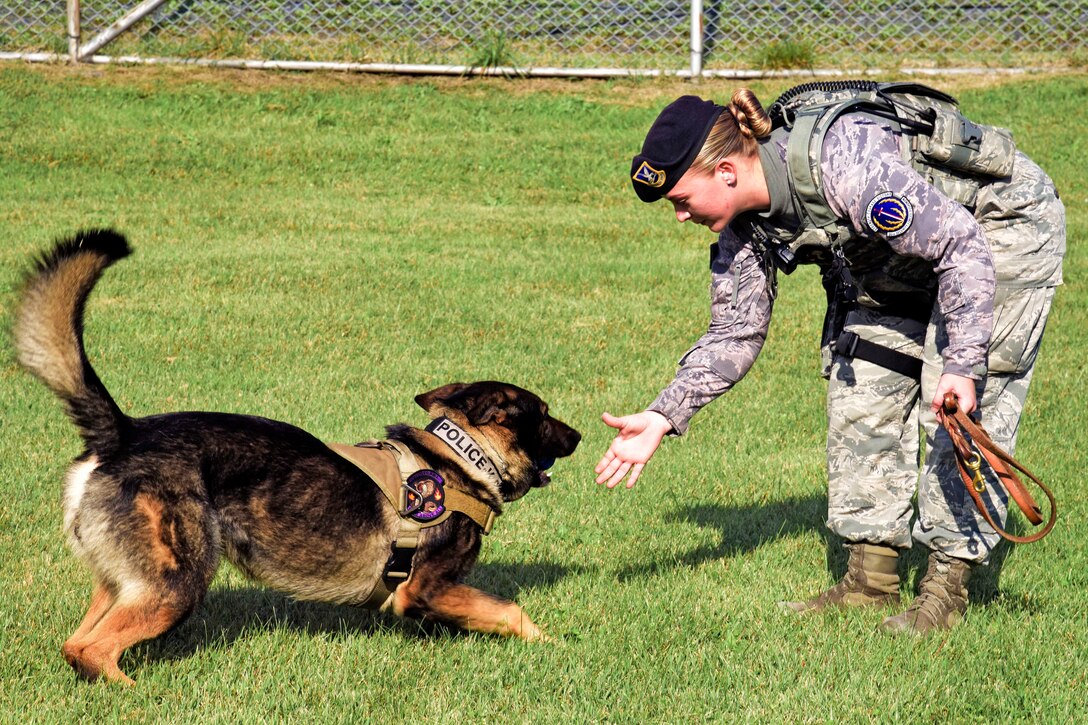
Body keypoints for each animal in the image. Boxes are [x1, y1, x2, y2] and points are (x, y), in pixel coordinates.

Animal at [14, 229, 578, 683]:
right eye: (546, 415)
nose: (579, 436)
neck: (461, 459)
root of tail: (123, 432)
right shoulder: (423, 588)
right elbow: (512, 611)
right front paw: (557, 645)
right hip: (175, 583)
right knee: (92, 649)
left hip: (123, 582)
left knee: (74, 643)